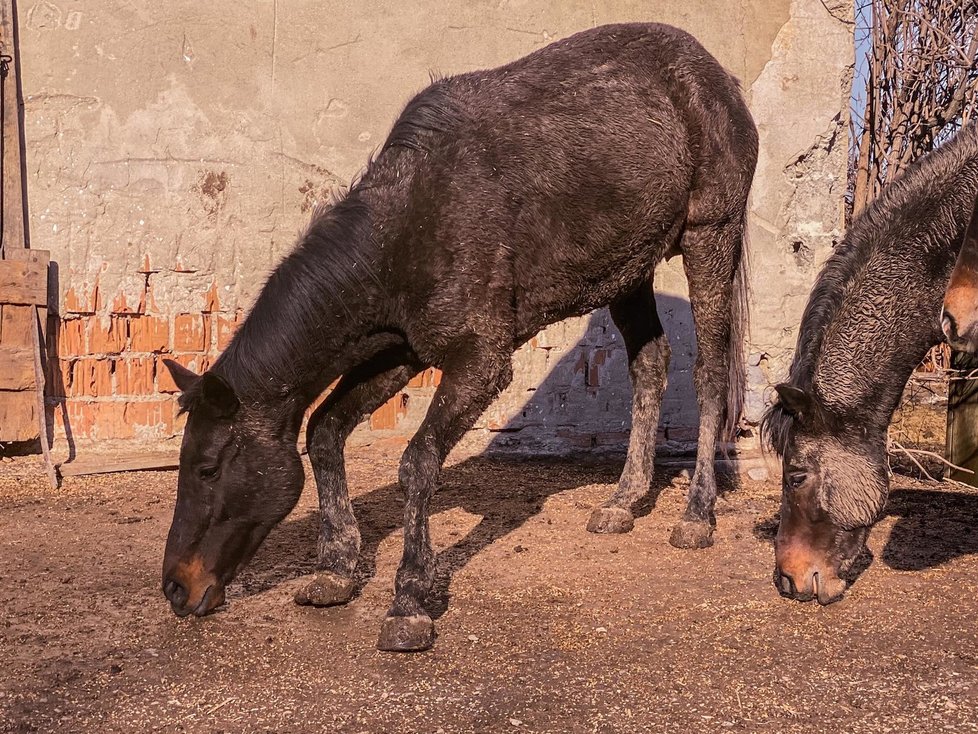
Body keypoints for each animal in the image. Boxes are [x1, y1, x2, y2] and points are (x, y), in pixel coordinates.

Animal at [160, 24, 760, 656]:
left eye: (208, 469)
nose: (176, 588)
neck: (404, 231)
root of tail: (717, 76)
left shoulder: (480, 361)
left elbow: (417, 463)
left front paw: (410, 603)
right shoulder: (400, 352)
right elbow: (324, 432)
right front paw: (337, 569)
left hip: (709, 237)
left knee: (711, 372)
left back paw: (696, 516)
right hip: (629, 268)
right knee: (650, 364)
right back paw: (622, 501)